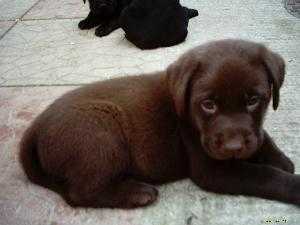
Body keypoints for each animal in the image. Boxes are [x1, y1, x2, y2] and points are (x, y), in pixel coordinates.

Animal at [19, 39, 298, 209]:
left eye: (253, 100)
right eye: (208, 104)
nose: (233, 148)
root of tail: (34, 129)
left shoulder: (252, 133)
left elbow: (262, 136)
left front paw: (280, 158)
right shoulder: (211, 169)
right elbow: (265, 175)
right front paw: (292, 183)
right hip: (99, 130)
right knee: (80, 192)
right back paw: (137, 193)